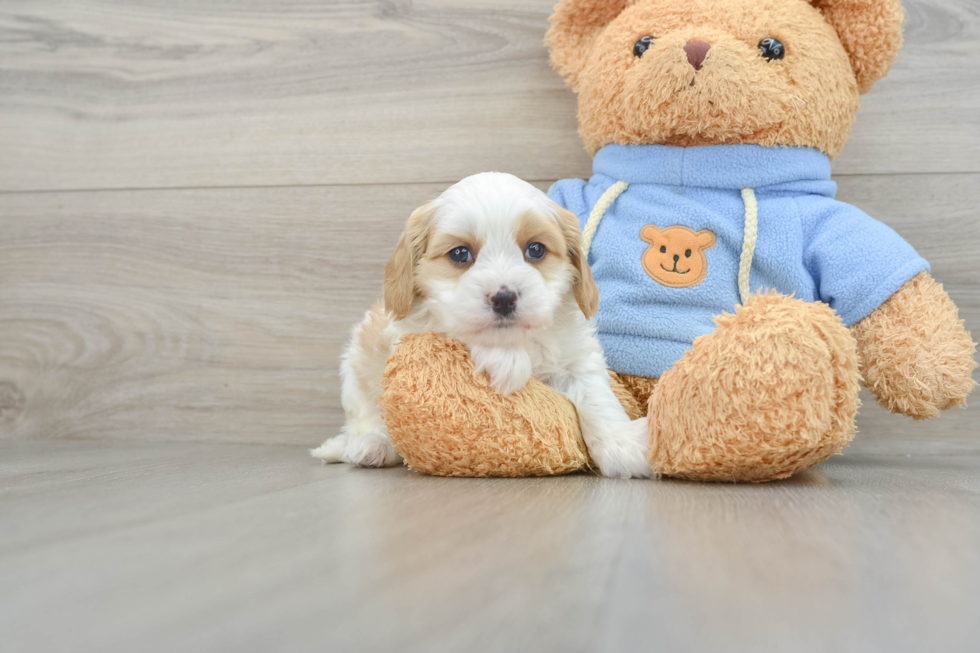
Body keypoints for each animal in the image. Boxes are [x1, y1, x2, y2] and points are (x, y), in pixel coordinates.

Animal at [312, 172, 652, 478]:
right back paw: (371, 445)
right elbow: (457, 327)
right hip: (356, 365)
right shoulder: (413, 327)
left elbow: (596, 397)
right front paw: (505, 360)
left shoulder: (577, 358)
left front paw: (622, 445)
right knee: (366, 417)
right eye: (460, 254)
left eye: (536, 250)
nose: (503, 298)